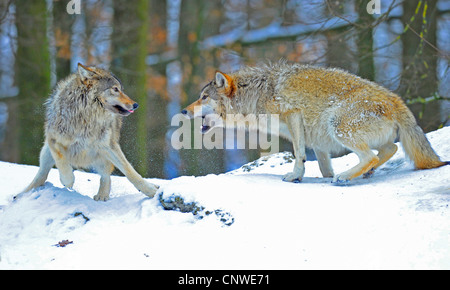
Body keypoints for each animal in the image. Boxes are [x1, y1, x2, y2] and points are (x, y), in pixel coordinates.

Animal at [19, 63, 160, 201]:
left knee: (106, 175)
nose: (136, 105)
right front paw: (68, 180)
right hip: (45, 154)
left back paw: (102, 197)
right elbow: (61, 161)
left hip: (102, 156)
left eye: (121, 89)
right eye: (115, 89)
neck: (86, 118)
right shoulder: (52, 139)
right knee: (41, 176)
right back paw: (21, 195)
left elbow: (129, 171)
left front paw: (151, 191)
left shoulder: (108, 145)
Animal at [182, 61, 446, 184]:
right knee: (388, 149)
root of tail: (395, 99)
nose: (183, 111)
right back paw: (362, 173)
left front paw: (295, 176)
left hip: (337, 124)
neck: (258, 94)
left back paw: (345, 177)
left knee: (371, 155)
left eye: (203, 97)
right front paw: (324, 176)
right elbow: (323, 167)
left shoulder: (294, 116)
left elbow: (299, 155)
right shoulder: (317, 141)